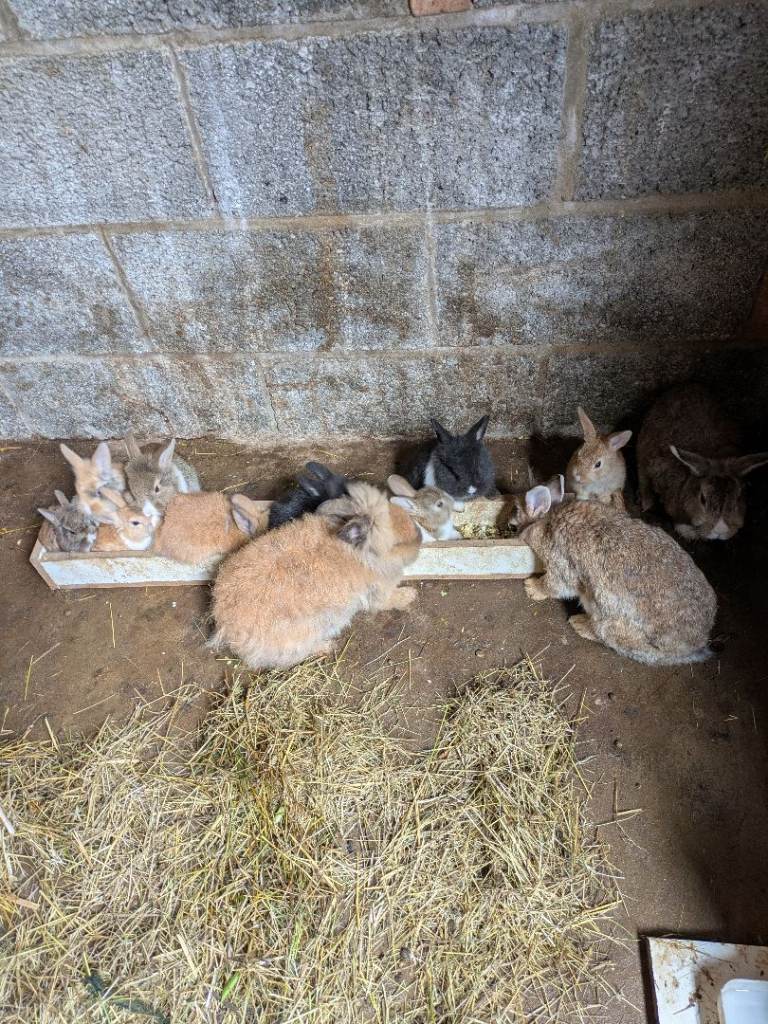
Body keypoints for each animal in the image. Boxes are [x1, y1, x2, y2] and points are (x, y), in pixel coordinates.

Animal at [209, 482, 421, 670]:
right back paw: (328, 646)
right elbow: (388, 601)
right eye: (396, 544)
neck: (361, 555)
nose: (419, 536)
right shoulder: (378, 592)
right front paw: (411, 595)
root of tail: (228, 629)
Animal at [516, 481, 716, 666]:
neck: (548, 522)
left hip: (608, 623)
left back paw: (579, 624)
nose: (518, 535)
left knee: (603, 636)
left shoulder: (561, 563)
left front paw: (532, 588)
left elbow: (554, 585)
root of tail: (695, 645)